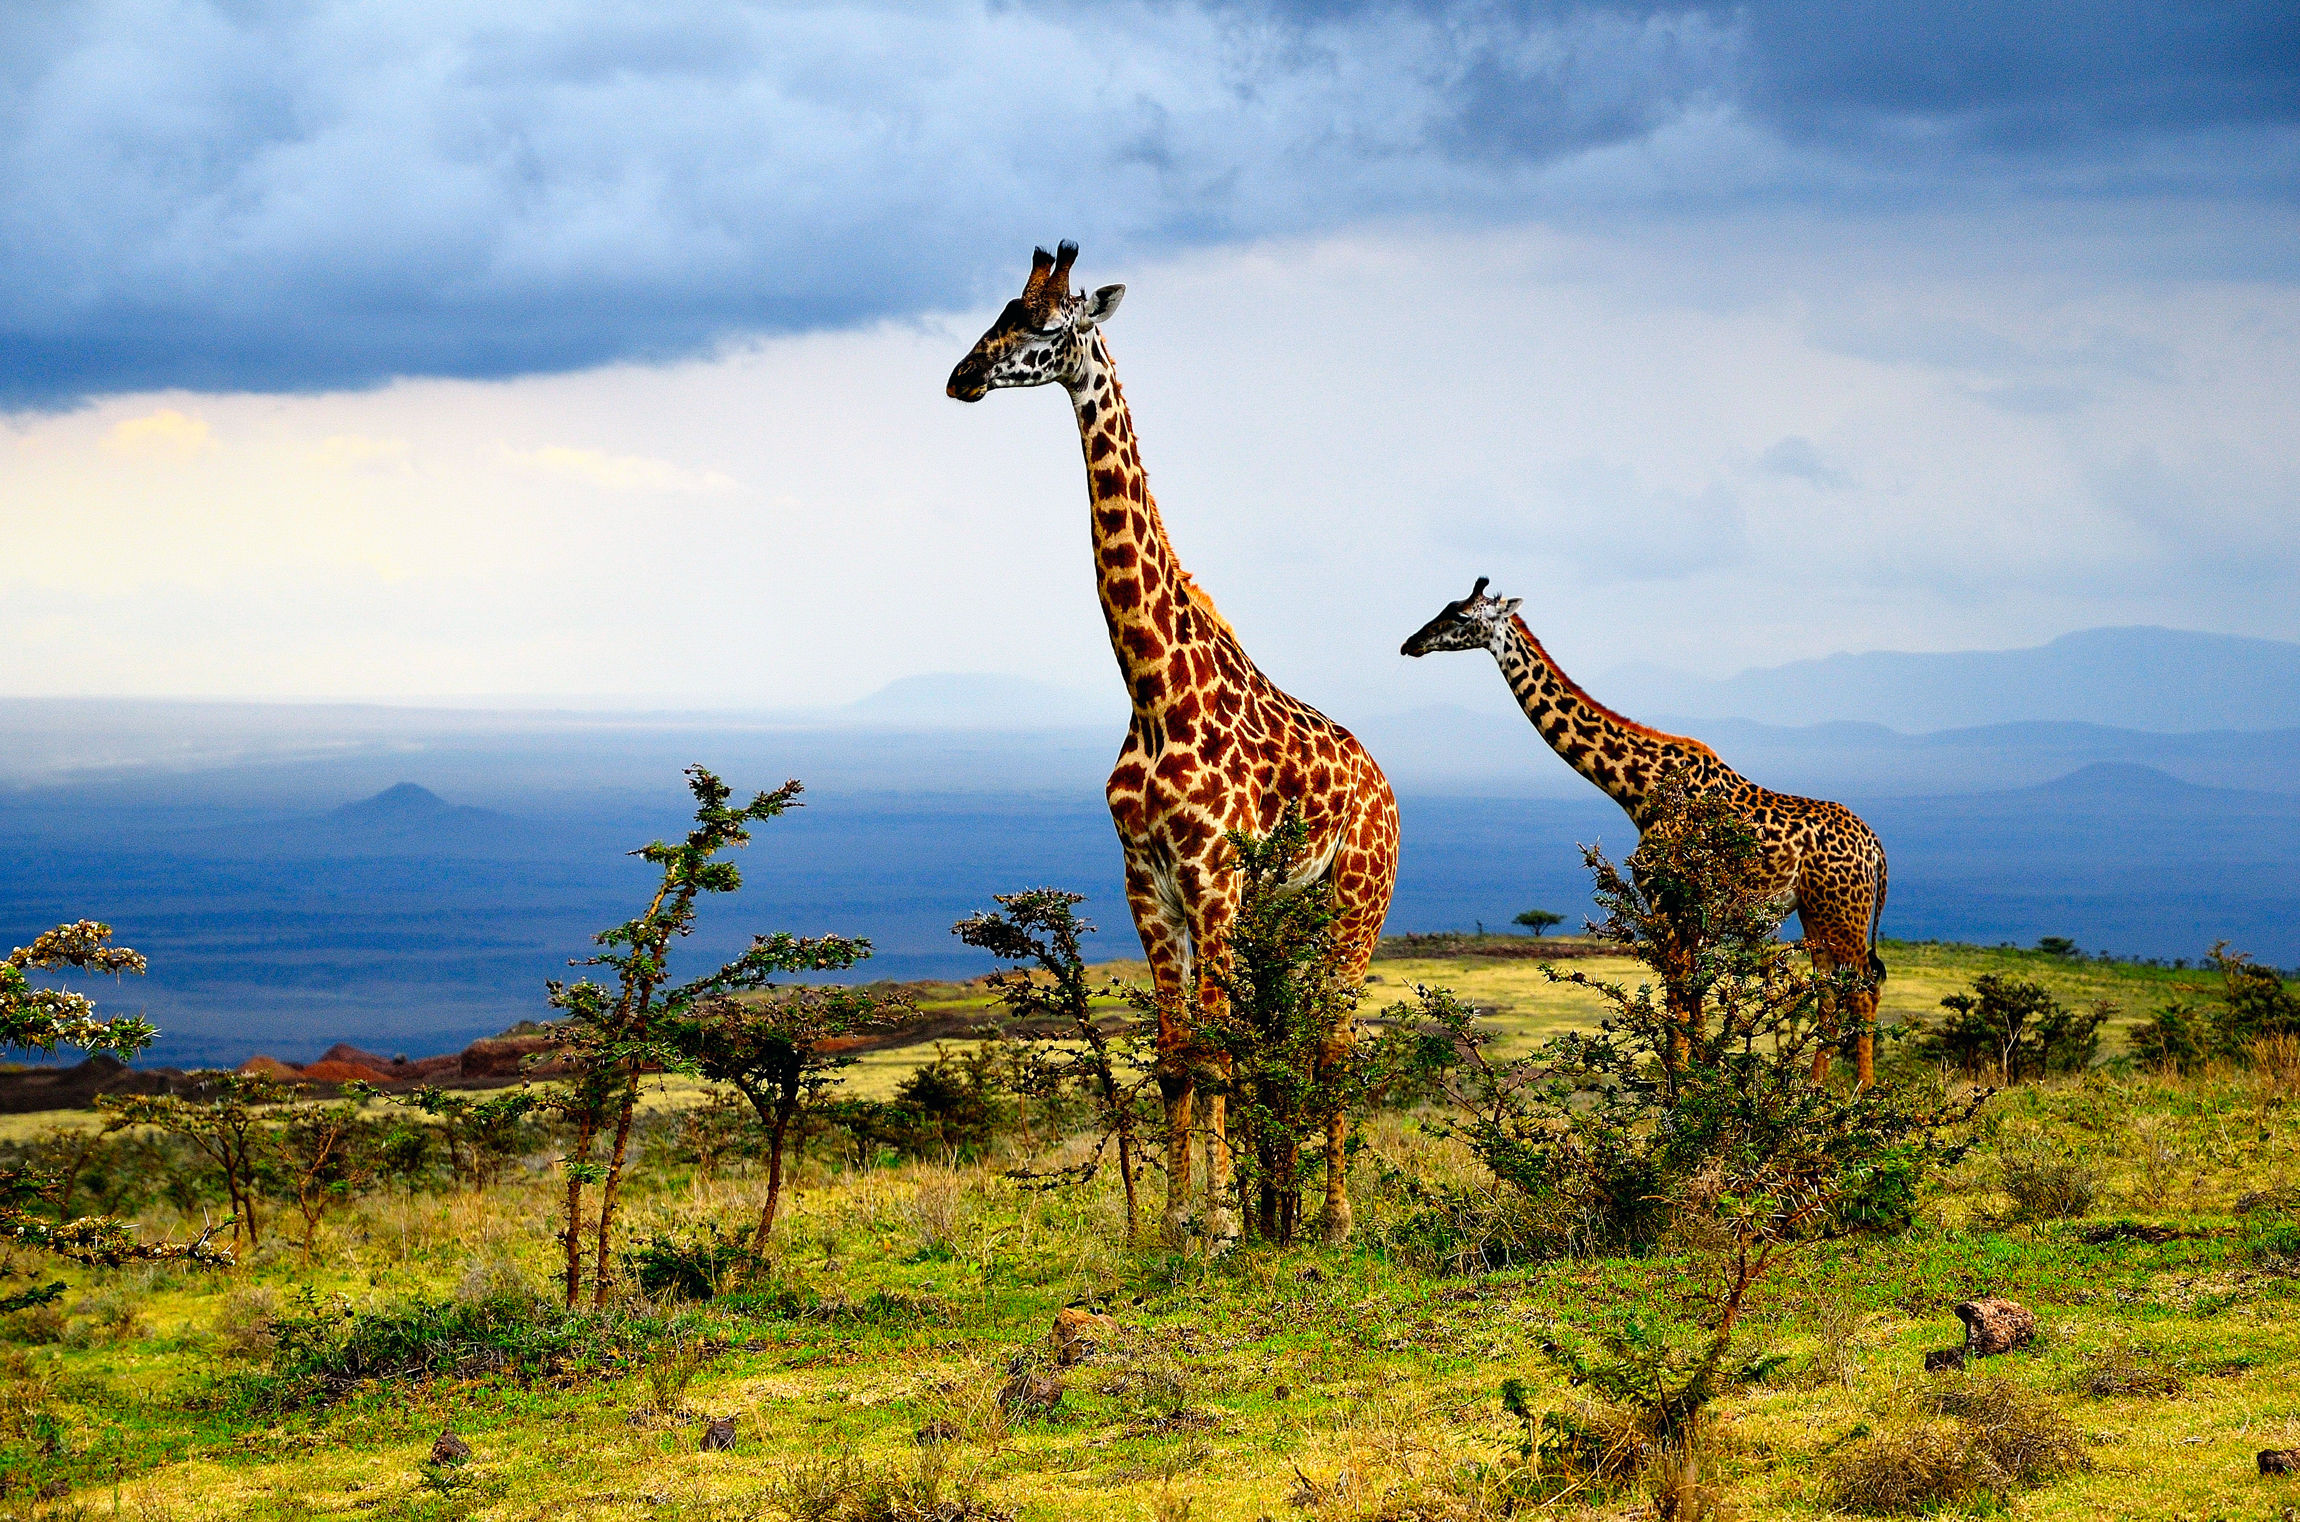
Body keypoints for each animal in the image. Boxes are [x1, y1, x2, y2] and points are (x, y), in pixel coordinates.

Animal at [948, 243, 1400, 1245]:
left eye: (1047, 325)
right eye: (997, 311)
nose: (961, 377)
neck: (1152, 688)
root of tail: (1384, 784)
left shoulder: (1211, 878)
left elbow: (1219, 1052)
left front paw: (1223, 1227)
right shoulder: (1144, 880)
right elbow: (1177, 1054)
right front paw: (1172, 1222)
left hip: (1357, 904)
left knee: (1332, 1039)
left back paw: (1335, 1218)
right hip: (1287, 917)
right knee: (1288, 1037)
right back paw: (1286, 1209)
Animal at [1402, 578, 1888, 1085]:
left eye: (1461, 615)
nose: (1410, 643)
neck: (1638, 788)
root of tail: (1877, 848)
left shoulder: (1666, 900)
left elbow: (1678, 1006)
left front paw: (1682, 1093)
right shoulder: (1688, 911)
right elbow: (1694, 1003)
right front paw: (1697, 1084)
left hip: (1843, 913)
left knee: (1862, 990)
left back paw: (1860, 1095)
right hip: (1817, 913)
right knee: (1830, 994)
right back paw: (1812, 1090)